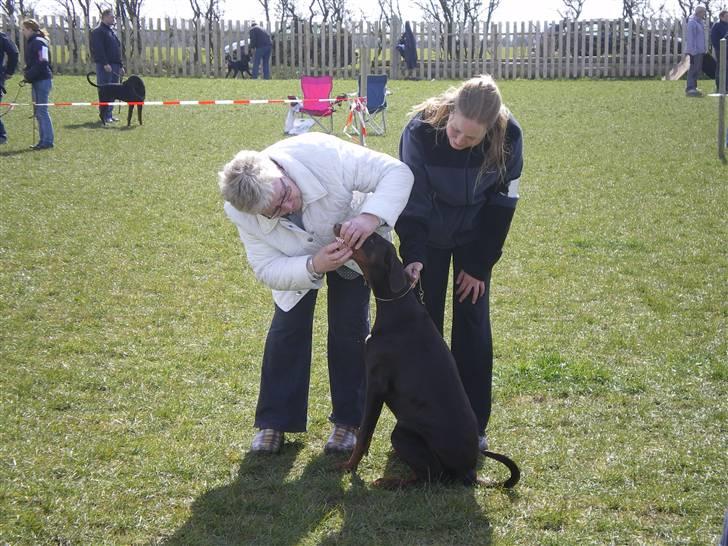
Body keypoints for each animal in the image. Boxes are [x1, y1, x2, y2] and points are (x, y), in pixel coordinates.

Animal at [336, 223, 516, 486]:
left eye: (370, 240)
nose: (338, 225)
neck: (396, 307)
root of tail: (470, 472)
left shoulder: (376, 384)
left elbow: (364, 433)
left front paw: (348, 466)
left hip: (401, 433)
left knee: (430, 476)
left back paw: (390, 482)